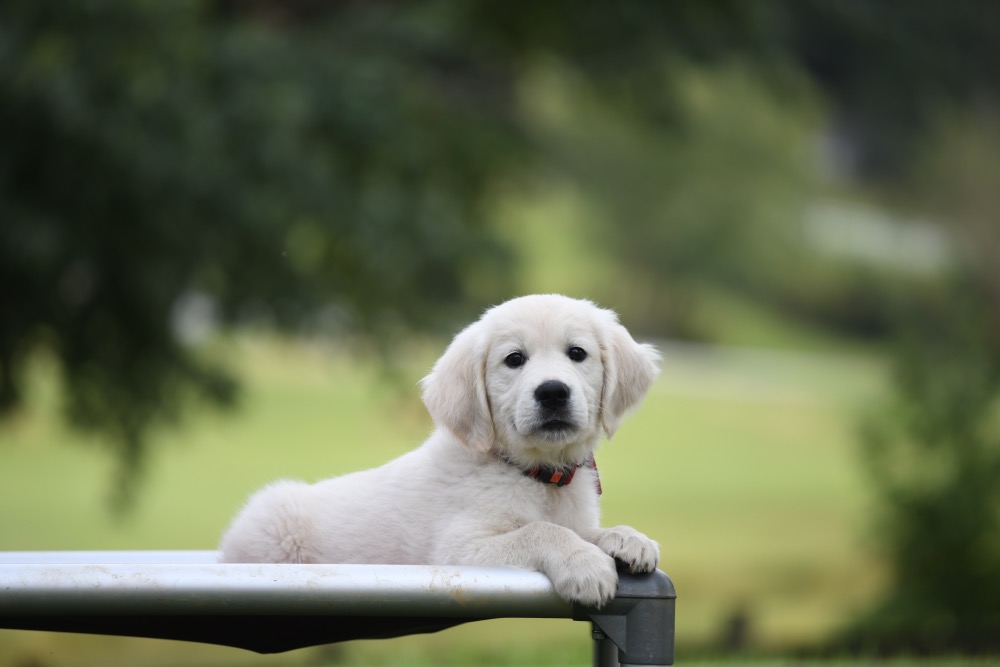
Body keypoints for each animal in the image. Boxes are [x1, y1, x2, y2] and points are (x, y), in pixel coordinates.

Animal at [223, 294, 668, 608]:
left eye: (577, 353)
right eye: (514, 359)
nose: (553, 392)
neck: (536, 473)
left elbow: (577, 528)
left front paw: (624, 537)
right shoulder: (459, 551)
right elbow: (540, 530)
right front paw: (584, 564)